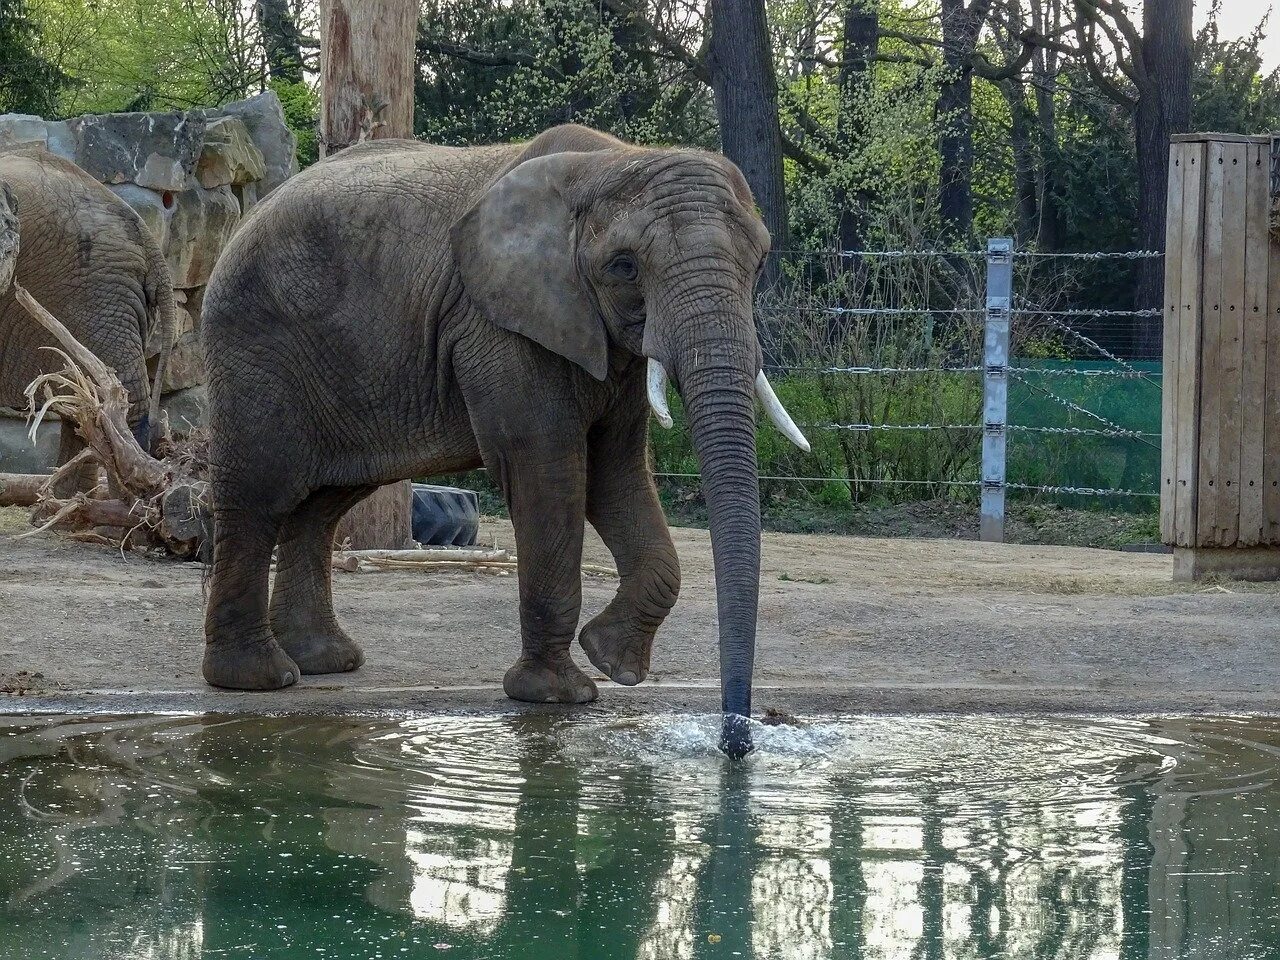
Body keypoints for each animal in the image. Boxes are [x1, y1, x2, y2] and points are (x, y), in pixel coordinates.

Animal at [197, 124, 808, 757]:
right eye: (624, 267)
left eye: (759, 262)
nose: (736, 741)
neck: (613, 163)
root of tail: (249, 213)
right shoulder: (501, 327)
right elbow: (550, 473)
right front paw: (558, 695)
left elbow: (614, 475)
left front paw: (613, 662)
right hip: (253, 345)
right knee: (258, 497)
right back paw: (258, 679)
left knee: (322, 503)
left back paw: (325, 662)